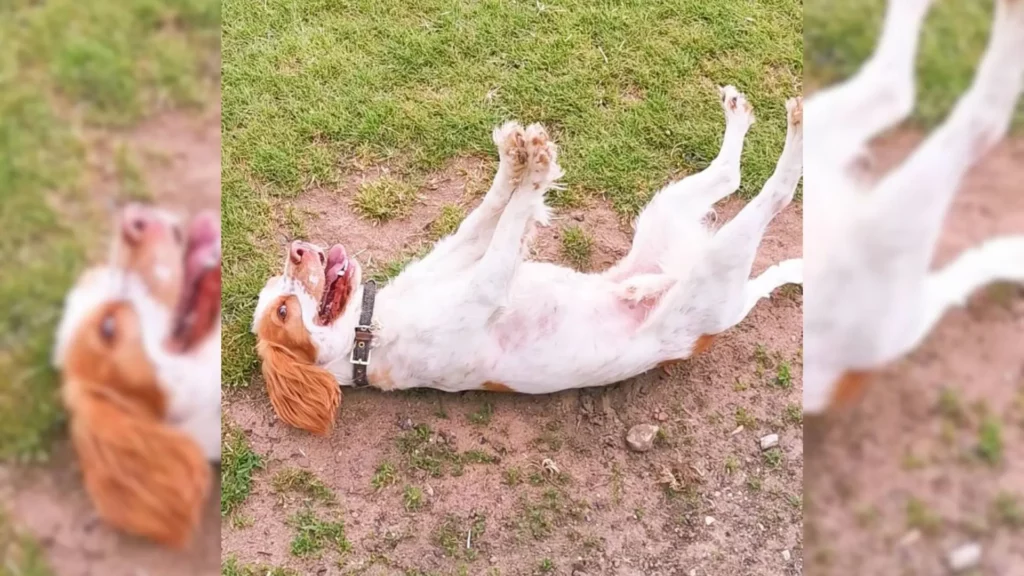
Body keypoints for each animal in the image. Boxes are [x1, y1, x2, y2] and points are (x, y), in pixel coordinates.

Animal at [251, 86, 802, 434]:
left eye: (279, 285)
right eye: (283, 310)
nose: (296, 248)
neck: (372, 328)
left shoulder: (460, 255)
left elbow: (490, 212)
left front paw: (516, 157)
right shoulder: (485, 289)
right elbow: (510, 223)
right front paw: (535, 169)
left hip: (666, 215)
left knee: (731, 175)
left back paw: (741, 112)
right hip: (711, 275)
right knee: (772, 194)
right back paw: (799, 125)